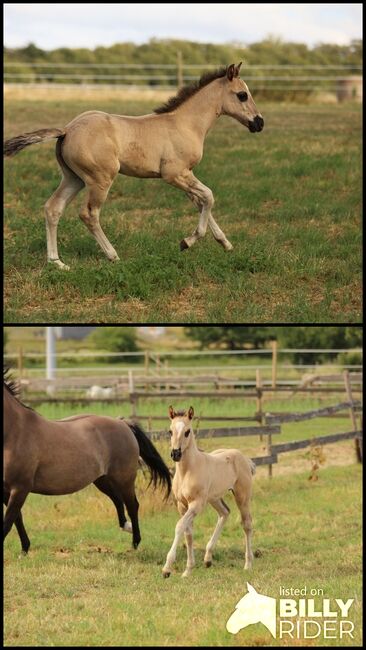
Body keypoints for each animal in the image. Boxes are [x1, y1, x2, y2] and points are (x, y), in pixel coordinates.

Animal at [4, 61, 264, 268]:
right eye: (242, 95)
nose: (259, 123)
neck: (185, 124)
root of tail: (66, 130)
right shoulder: (174, 174)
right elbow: (209, 197)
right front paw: (187, 242)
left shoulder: (186, 175)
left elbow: (202, 202)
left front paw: (225, 244)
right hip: (100, 179)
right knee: (89, 214)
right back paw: (112, 255)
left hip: (73, 178)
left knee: (53, 208)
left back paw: (57, 262)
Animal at [163, 404, 254, 576]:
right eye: (170, 431)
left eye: (187, 431)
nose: (175, 454)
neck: (187, 471)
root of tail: (244, 458)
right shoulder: (182, 505)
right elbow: (188, 534)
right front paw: (188, 571)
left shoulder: (196, 504)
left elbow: (180, 526)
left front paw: (167, 568)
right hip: (214, 498)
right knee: (225, 513)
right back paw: (208, 558)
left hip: (242, 496)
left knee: (246, 524)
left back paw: (248, 564)